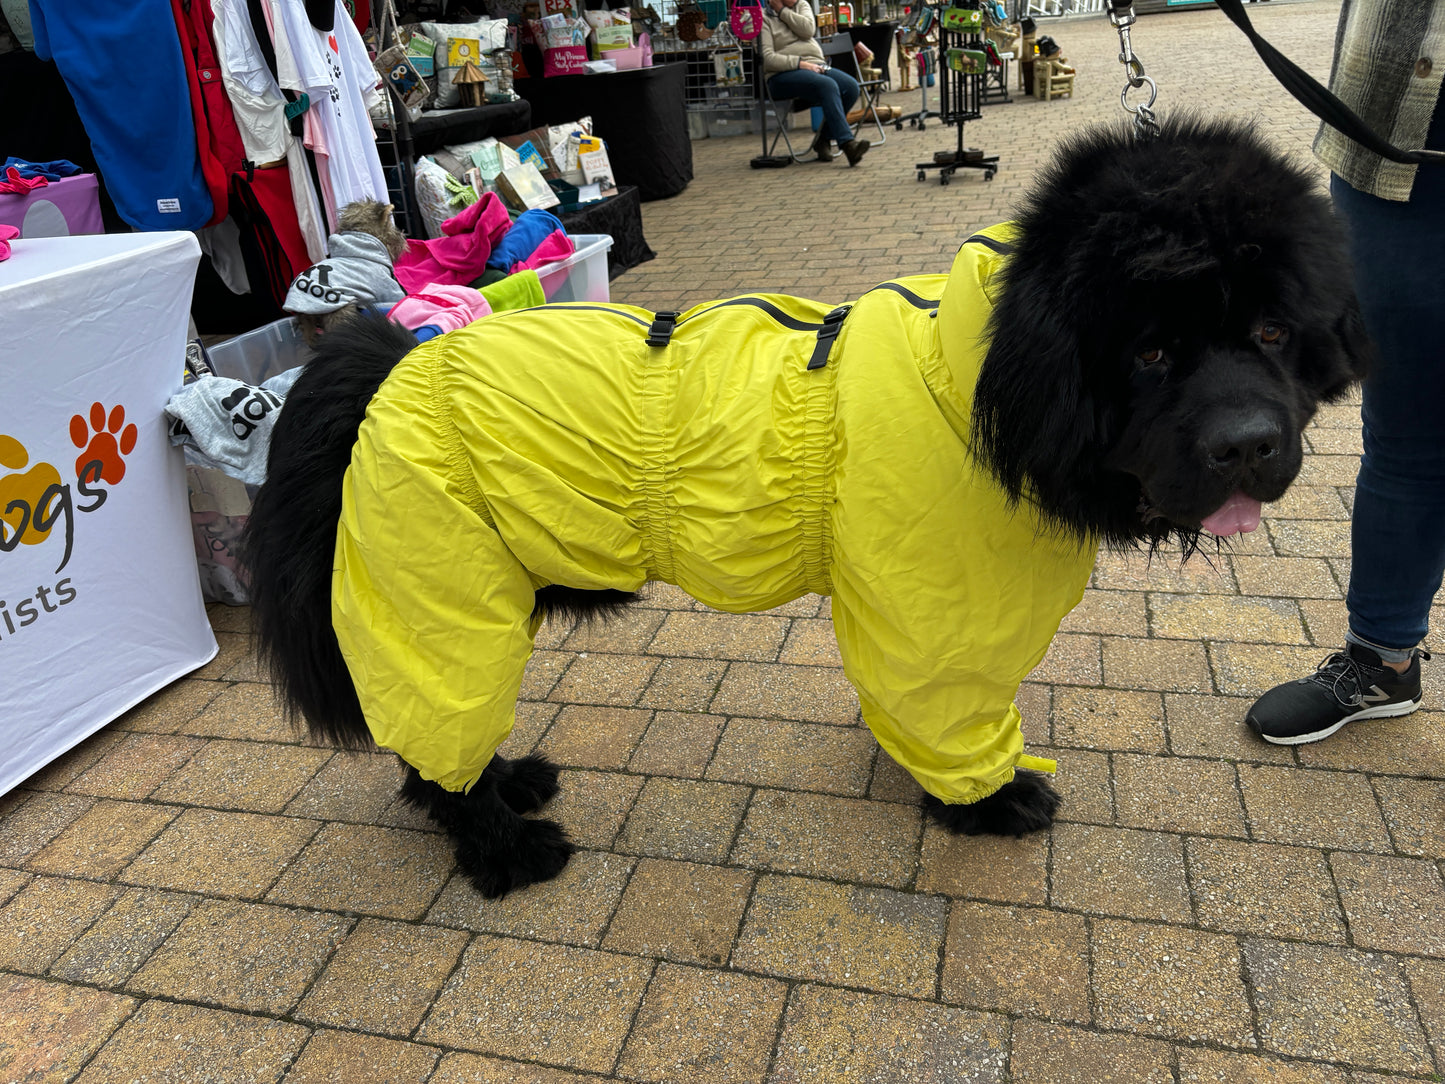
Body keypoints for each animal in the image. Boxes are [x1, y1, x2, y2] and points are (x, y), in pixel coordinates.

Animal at [239, 120, 1364, 901]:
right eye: (1149, 352)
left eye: (1272, 330)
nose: (1246, 444)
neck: (977, 379)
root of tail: (388, 361)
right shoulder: (938, 619)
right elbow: (951, 714)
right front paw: (988, 799)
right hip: (440, 593)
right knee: (437, 735)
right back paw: (508, 848)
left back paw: (511, 781)